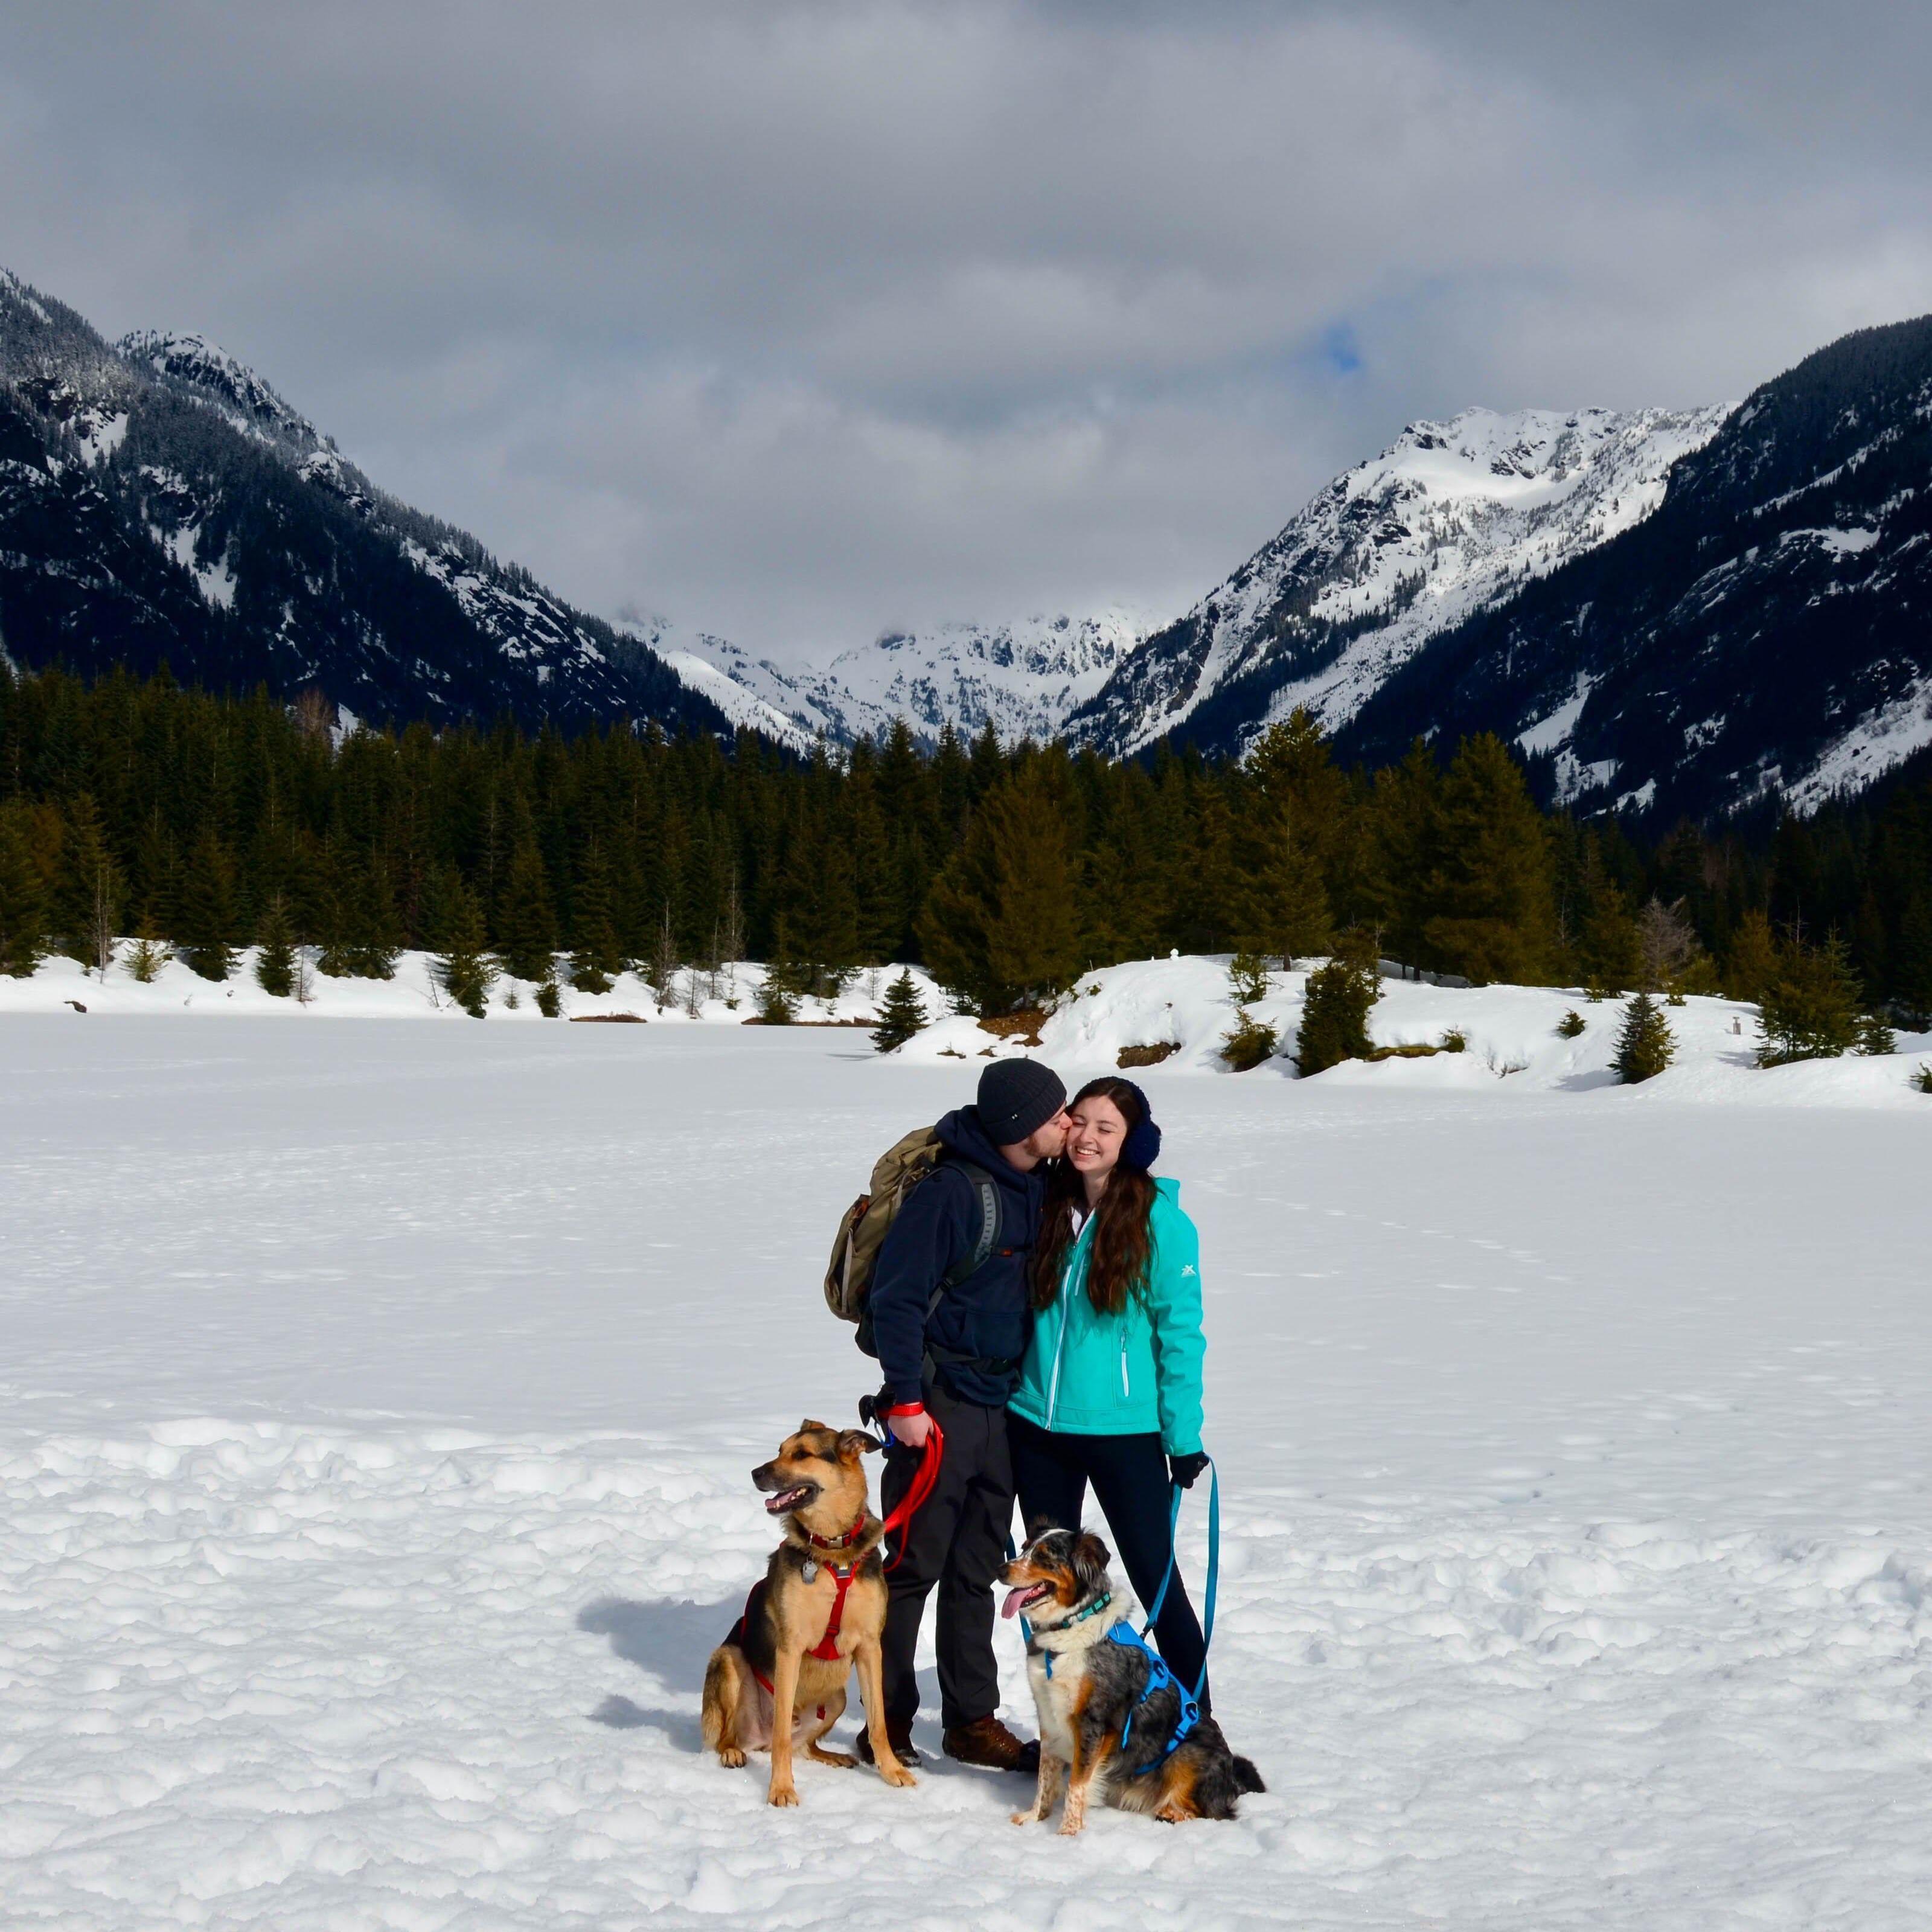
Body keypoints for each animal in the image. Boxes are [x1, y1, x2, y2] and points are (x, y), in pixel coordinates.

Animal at [699, 1422, 915, 1808]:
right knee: (738, 1736)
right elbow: (783, 1737)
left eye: (802, 1455)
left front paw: (892, 1771)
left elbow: (879, 1725)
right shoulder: (790, 1649)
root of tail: (756, 1740)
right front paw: (781, 1789)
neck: (834, 1550)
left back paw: (834, 1756)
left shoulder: (869, 1647)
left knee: (806, 1746)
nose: (755, 1473)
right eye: (780, 1450)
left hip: (837, 1697)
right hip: (729, 1659)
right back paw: (732, 1753)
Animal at [1005, 1522, 1259, 1823]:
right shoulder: (1048, 1714)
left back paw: (1171, 1812)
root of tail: (1233, 1780)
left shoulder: (1093, 1721)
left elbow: (1076, 1786)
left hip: (1186, 1754)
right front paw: (1033, 1818)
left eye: (1044, 1557)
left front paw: (1067, 1831)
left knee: (1212, 1811)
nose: (1000, 1569)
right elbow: (1046, 1778)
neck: (1069, 1626)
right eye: (1023, 1548)